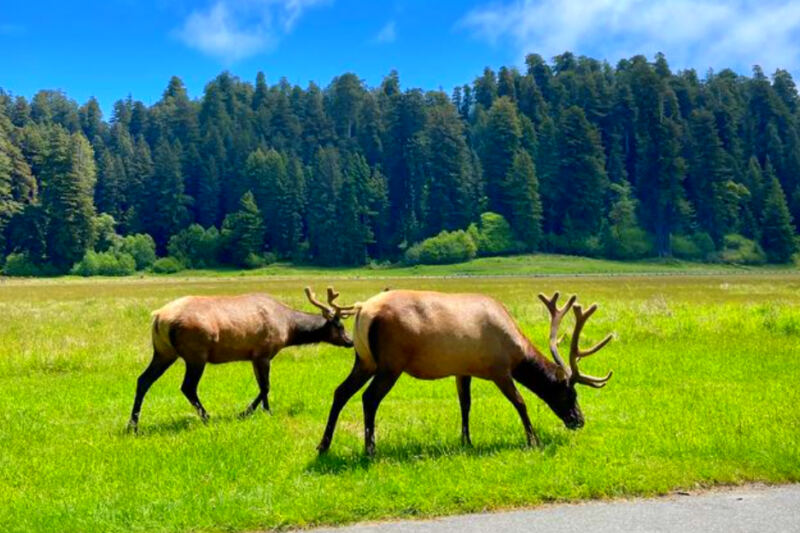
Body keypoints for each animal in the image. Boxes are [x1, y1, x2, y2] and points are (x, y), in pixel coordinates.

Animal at [127, 287, 355, 432]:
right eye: (340, 326)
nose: (350, 341)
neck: (289, 329)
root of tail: (158, 318)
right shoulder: (264, 352)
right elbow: (266, 386)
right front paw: (253, 413)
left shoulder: (253, 356)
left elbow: (262, 386)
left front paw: (257, 412)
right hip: (196, 353)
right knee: (187, 387)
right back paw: (207, 418)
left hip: (163, 352)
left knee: (143, 380)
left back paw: (133, 425)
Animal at [316, 289, 614, 456]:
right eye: (570, 394)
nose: (579, 421)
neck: (516, 348)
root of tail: (362, 311)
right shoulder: (499, 369)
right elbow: (520, 402)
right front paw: (534, 440)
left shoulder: (463, 370)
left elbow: (465, 404)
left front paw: (466, 441)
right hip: (391, 363)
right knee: (369, 398)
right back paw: (370, 449)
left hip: (364, 360)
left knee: (340, 392)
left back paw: (323, 446)